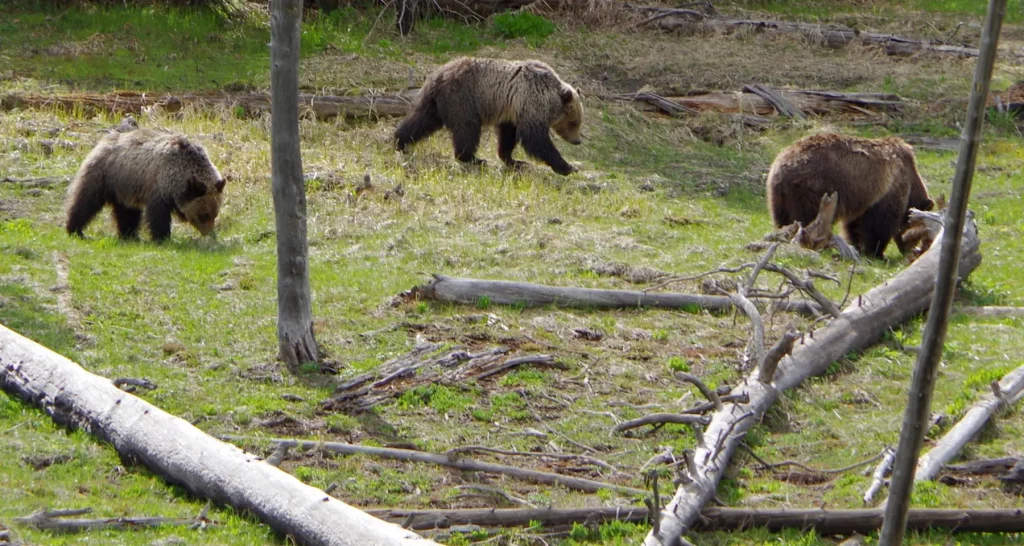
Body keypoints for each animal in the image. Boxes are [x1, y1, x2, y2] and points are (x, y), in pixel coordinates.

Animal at [65, 128, 227, 241]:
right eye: (203, 215)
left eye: (214, 214)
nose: (210, 234)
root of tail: (102, 142)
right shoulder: (158, 186)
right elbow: (158, 215)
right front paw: (162, 238)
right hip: (103, 176)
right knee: (86, 201)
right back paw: (75, 229)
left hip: (126, 187)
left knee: (127, 212)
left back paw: (129, 235)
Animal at [395, 57, 584, 176]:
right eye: (573, 122)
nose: (577, 141)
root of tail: (438, 76)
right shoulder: (531, 102)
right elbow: (536, 139)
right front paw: (567, 167)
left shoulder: (513, 108)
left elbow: (508, 134)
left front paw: (513, 160)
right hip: (463, 99)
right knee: (467, 129)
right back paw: (473, 158)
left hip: (434, 103)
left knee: (420, 121)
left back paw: (400, 142)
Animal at [766, 133, 935, 259]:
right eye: (918, 235)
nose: (908, 251)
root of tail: (781, 166)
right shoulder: (888, 189)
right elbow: (879, 224)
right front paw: (877, 253)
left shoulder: (864, 198)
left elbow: (854, 225)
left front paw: (858, 246)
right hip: (813, 188)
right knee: (806, 218)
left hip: (780, 197)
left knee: (784, 220)